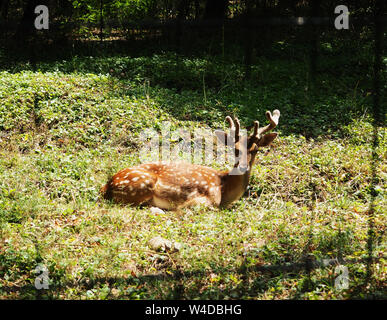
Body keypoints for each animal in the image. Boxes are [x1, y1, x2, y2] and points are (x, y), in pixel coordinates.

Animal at [101, 110, 282, 210]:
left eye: (256, 150)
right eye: (235, 149)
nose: (243, 166)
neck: (225, 190)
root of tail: (107, 185)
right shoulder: (205, 200)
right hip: (143, 184)